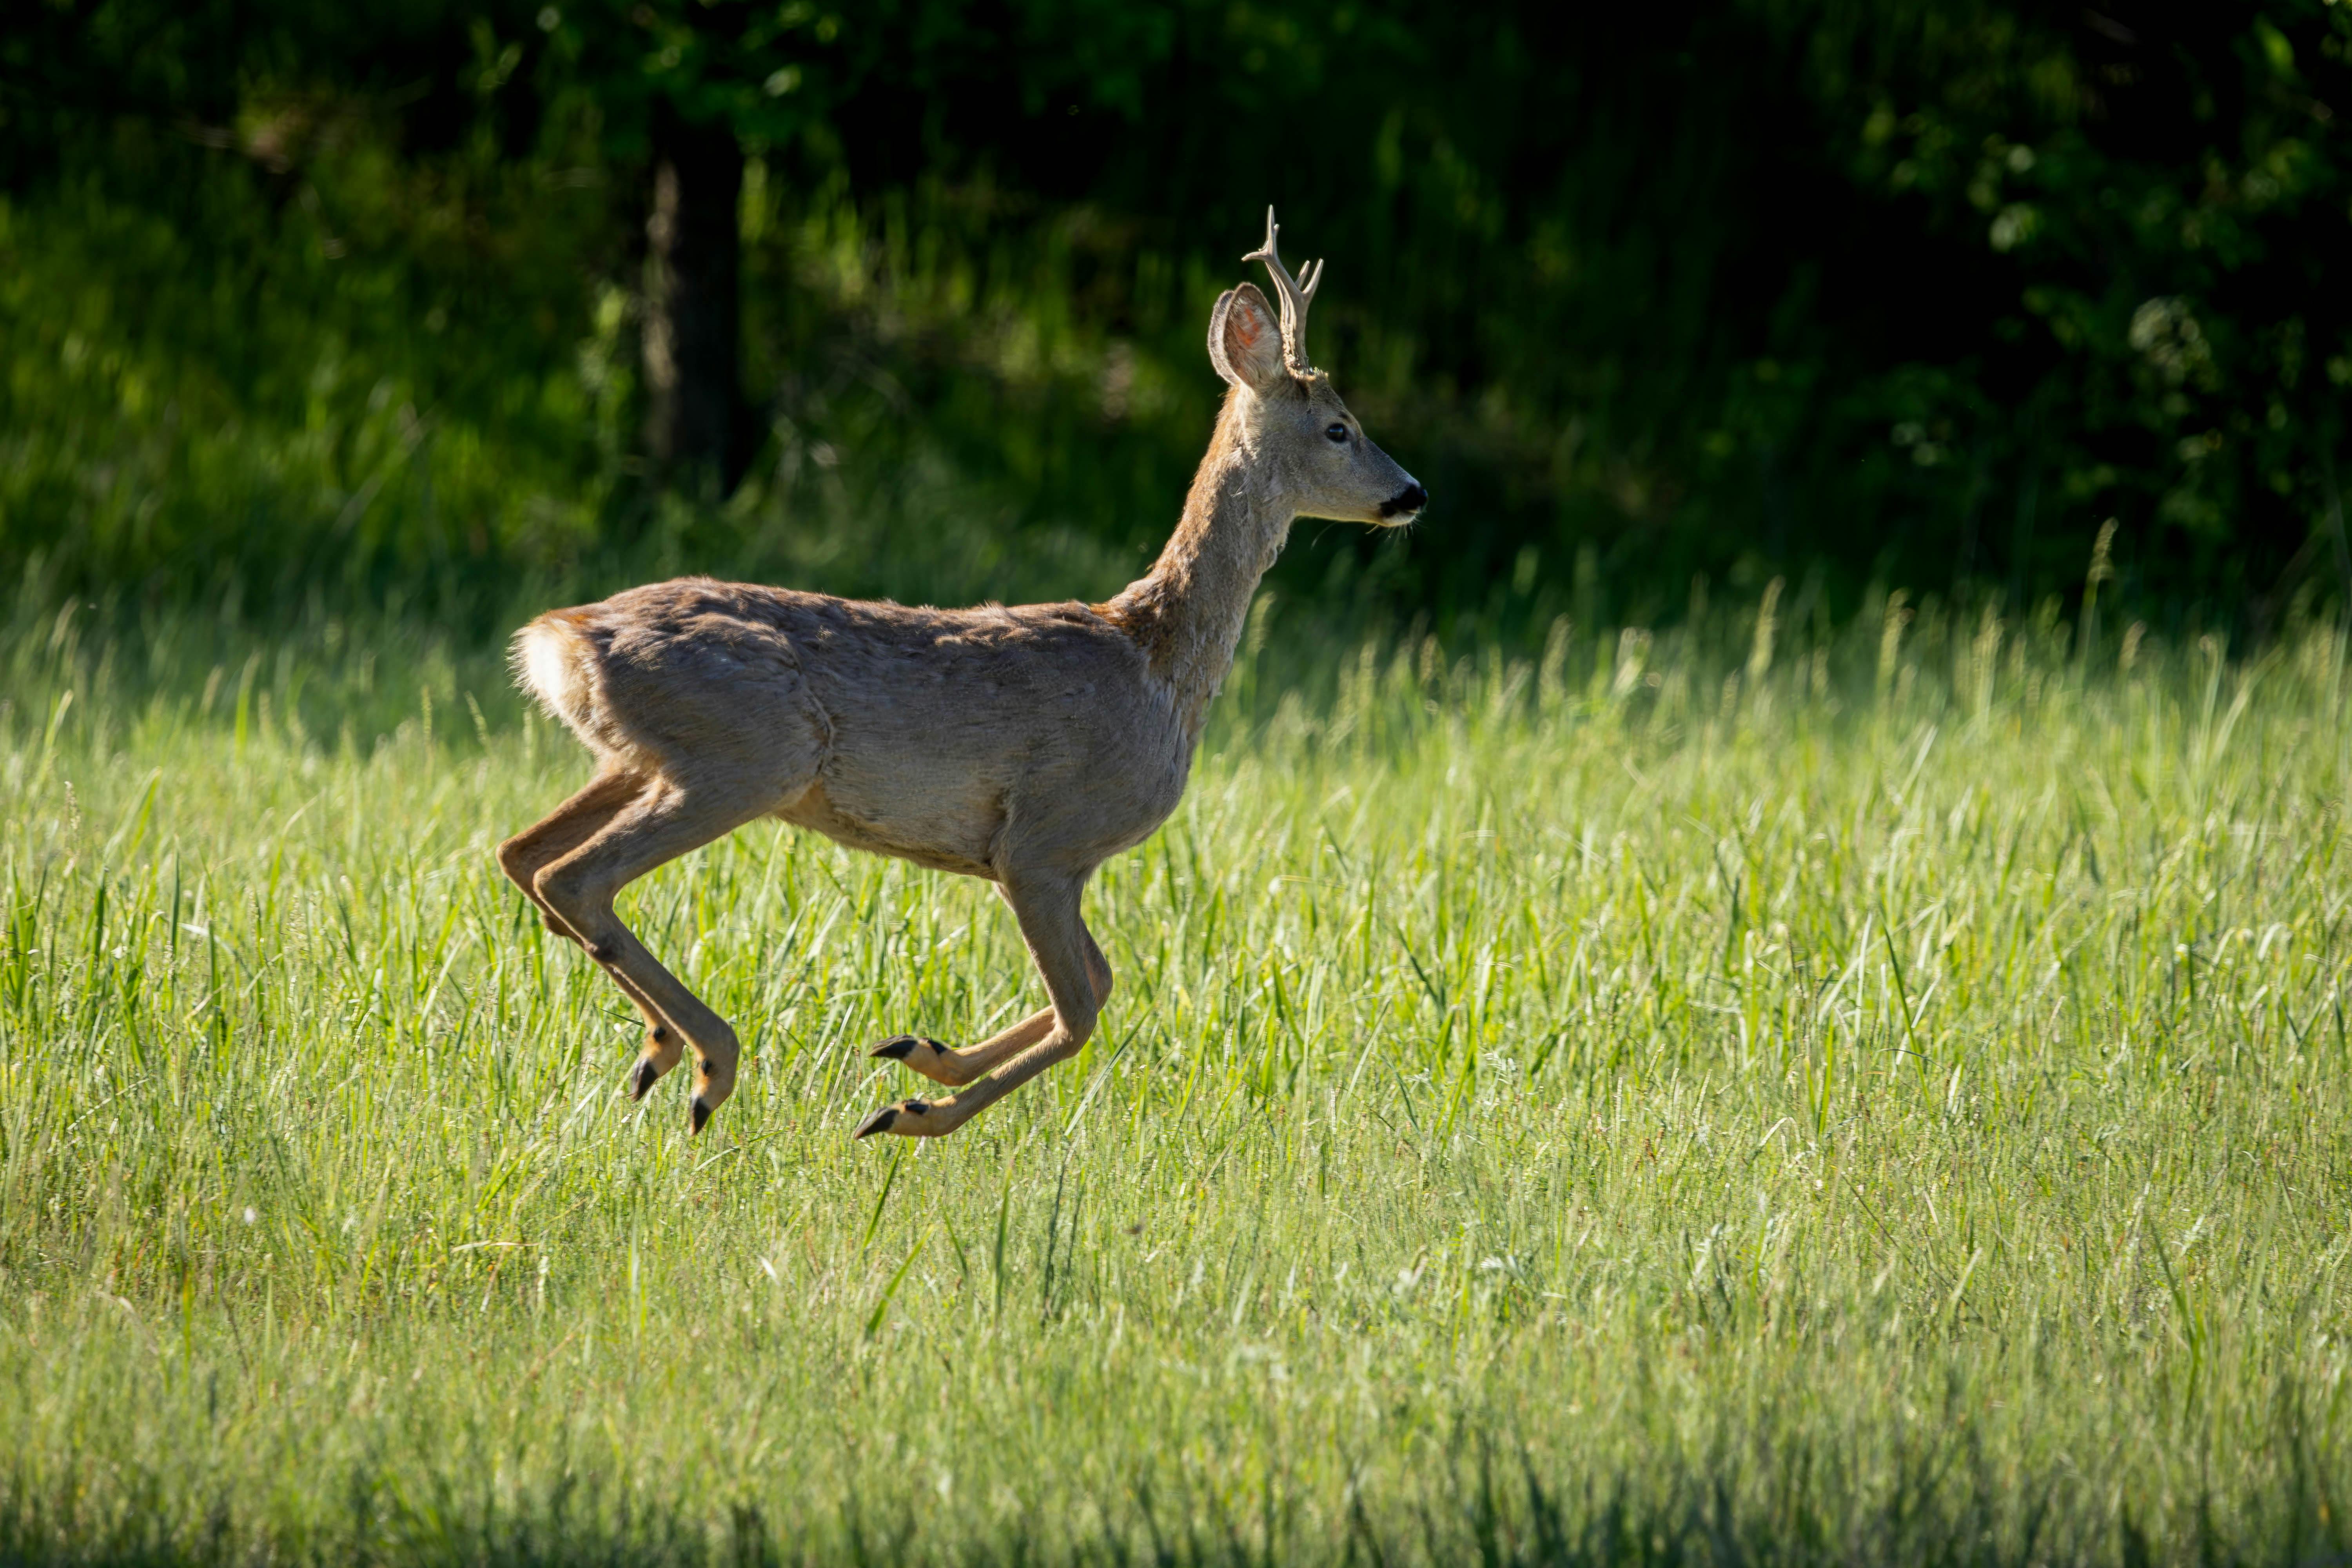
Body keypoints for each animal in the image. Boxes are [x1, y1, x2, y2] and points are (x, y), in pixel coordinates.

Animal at [497, 209, 1425, 1142]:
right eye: (1339, 427)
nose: (1412, 492)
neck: (1159, 667)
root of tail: (555, 640)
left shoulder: (1055, 860)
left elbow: (1099, 983)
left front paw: (919, 1051)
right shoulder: (1043, 840)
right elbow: (1080, 1011)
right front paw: (909, 1112)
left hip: (640, 759)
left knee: (524, 853)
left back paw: (660, 1048)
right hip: (745, 755)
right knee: (575, 874)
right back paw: (711, 1065)